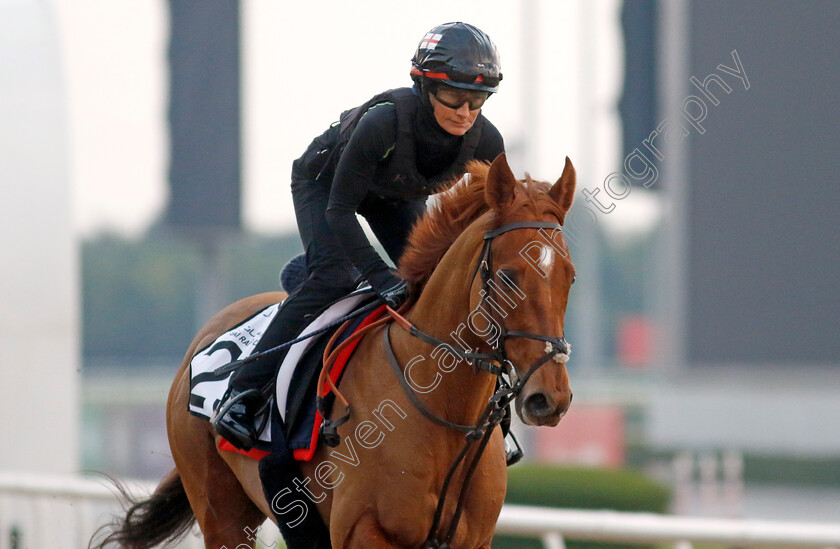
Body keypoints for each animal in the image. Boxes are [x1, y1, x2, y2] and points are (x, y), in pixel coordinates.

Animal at [93, 153, 576, 548]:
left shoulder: (472, 540)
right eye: (509, 276)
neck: (443, 415)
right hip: (221, 513)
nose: (549, 398)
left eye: (570, 276)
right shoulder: (362, 531)